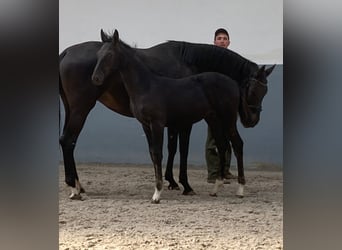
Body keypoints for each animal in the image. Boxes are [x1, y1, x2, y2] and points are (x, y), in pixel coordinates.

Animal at [58, 29, 276, 199]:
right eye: (255, 90)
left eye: (265, 91)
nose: (252, 120)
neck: (189, 63)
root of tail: (66, 52)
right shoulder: (182, 122)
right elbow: (180, 150)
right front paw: (183, 184)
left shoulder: (173, 121)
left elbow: (171, 148)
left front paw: (172, 182)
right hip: (81, 108)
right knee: (68, 140)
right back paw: (74, 187)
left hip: (71, 108)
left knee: (67, 141)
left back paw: (77, 186)